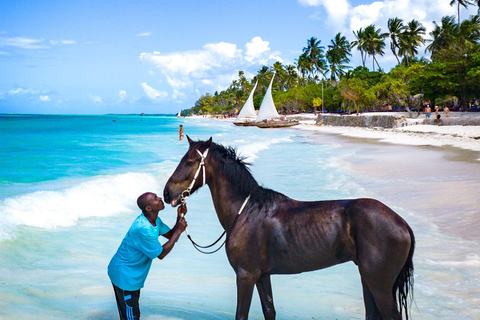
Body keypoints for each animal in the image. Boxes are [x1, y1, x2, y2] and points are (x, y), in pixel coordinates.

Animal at [163, 137, 414, 320]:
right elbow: (269, 311)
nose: (166, 193)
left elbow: (241, 315)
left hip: (379, 284)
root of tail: (402, 224)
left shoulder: (245, 276)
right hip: (367, 279)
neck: (245, 211)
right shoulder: (261, 275)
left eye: (189, 162)